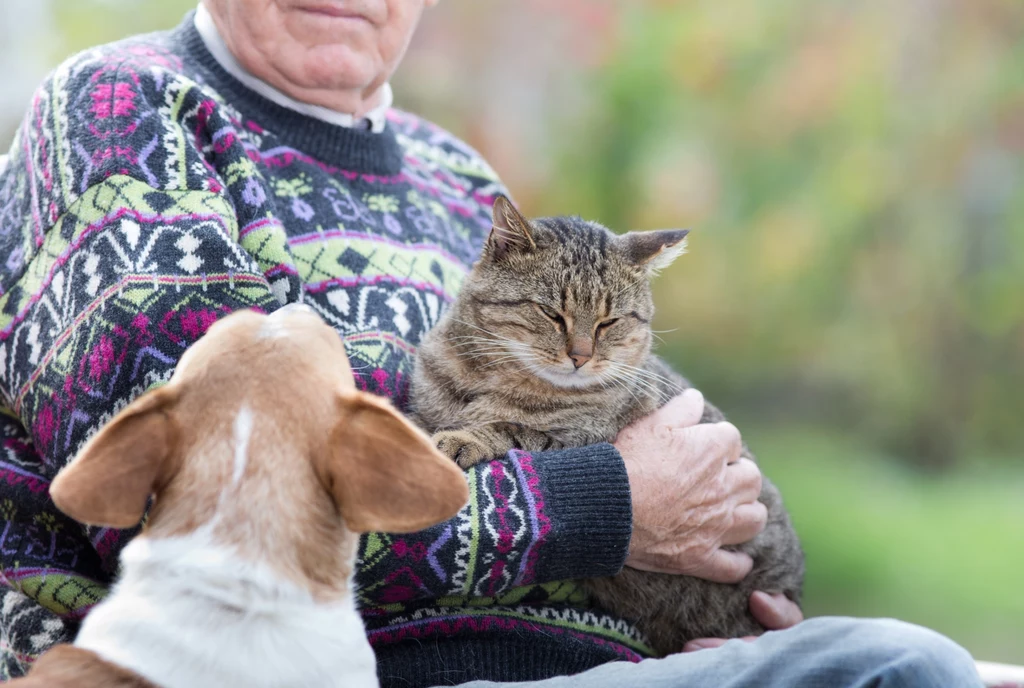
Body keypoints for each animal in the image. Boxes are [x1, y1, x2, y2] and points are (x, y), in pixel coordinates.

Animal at [411, 194, 802, 655]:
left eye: (609, 322)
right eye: (551, 313)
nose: (580, 356)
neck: (490, 377)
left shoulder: (580, 439)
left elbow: (512, 429)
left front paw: (463, 436)